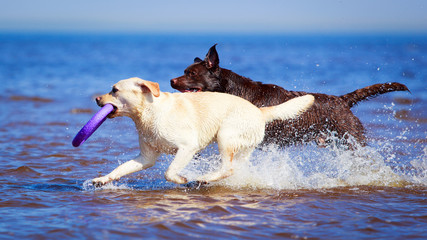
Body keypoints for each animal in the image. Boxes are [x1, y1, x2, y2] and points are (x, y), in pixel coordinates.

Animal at [171, 44, 412, 147]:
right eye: (184, 71)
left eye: (191, 74)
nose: (172, 81)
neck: (234, 91)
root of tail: (342, 100)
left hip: (350, 138)